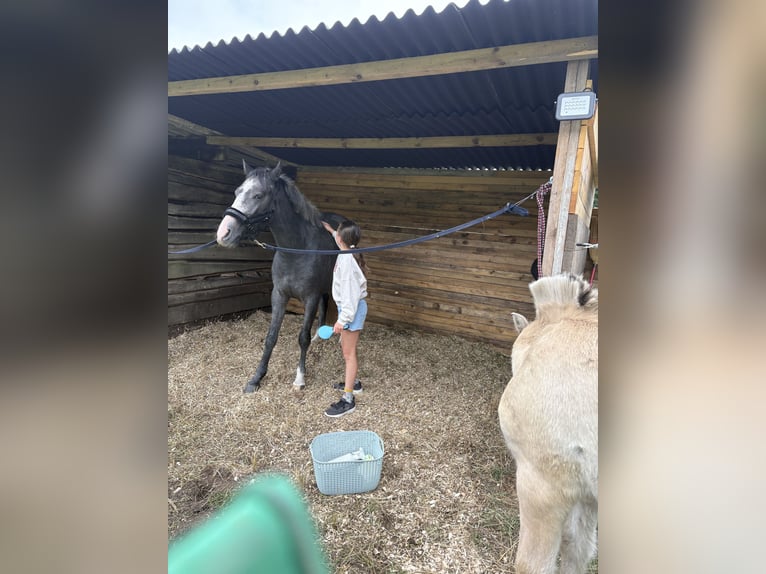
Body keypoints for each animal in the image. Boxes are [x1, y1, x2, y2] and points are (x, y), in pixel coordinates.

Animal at [216, 161, 345, 393]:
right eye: (237, 191)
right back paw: (320, 337)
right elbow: (271, 337)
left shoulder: (309, 298)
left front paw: (300, 378)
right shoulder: (279, 295)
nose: (224, 234)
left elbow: (302, 338)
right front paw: (256, 378)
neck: (297, 249)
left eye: (258, 195)